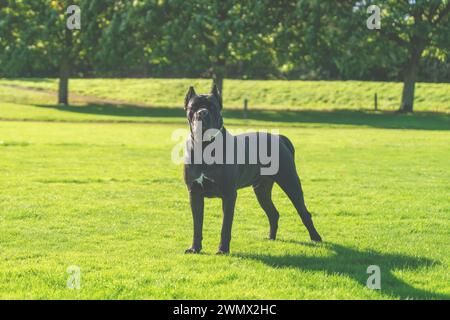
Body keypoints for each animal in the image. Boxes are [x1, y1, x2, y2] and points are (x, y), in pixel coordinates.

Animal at [185, 85, 322, 255]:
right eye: (193, 107)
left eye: (212, 107)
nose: (202, 113)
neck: (205, 147)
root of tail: (280, 138)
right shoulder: (194, 193)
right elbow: (197, 225)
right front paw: (194, 248)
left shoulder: (229, 194)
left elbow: (225, 226)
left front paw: (223, 250)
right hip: (261, 190)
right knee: (273, 213)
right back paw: (271, 237)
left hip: (291, 183)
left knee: (304, 212)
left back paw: (316, 238)